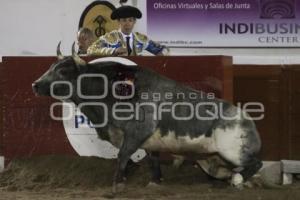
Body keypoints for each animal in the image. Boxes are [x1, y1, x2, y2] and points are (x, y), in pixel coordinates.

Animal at [32, 43, 262, 195]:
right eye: (51, 67)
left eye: (63, 71)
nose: (35, 84)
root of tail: (247, 119)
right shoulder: (149, 142)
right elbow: (153, 161)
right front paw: (155, 183)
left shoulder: (137, 132)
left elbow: (123, 156)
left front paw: (117, 185)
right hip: (212, 161)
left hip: (233, 151)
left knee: (255, 163)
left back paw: (238, 181)